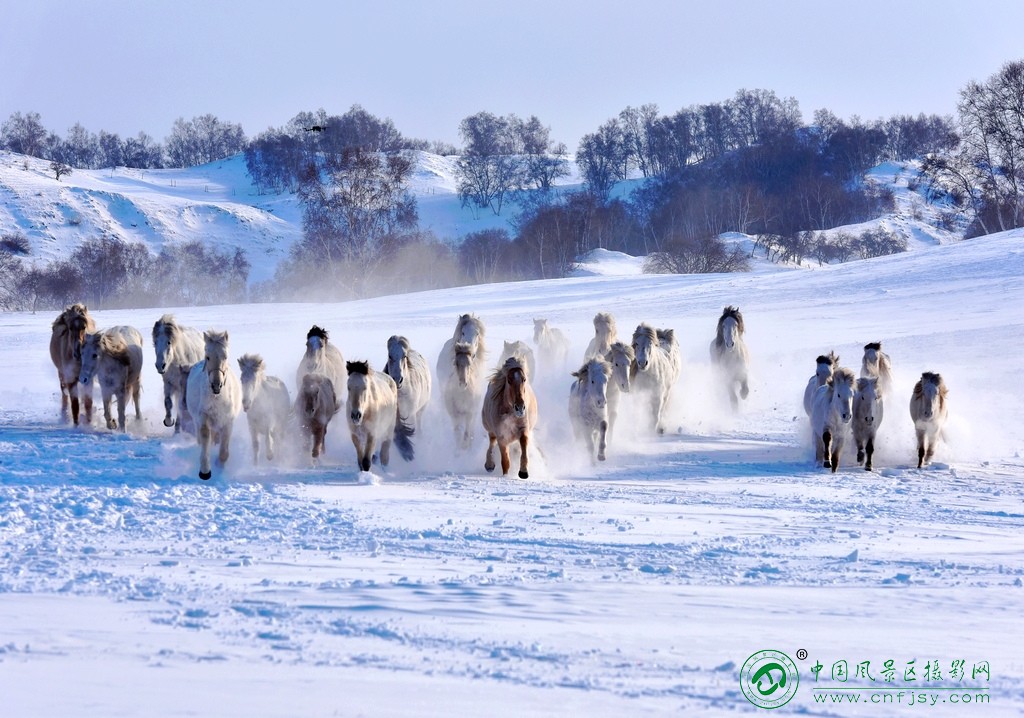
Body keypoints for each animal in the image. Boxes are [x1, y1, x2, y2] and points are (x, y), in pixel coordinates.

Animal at [186, 331, 241, 481]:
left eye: (225, 356)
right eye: (208, 357)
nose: (216, 385)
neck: (218, 398)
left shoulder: (228, 421)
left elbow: (224, 451)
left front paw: (219, 467)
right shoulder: (204, 417)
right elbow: (205, 438)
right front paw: (205, 471)